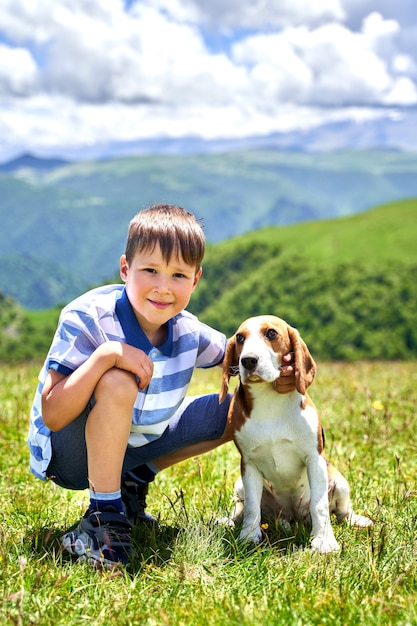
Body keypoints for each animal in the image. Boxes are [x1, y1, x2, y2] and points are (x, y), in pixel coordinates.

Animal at [219, 314, 372, 552]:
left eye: (271, 333)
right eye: (240, 338)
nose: (248, 360)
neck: (269, 401)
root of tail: (293, 517)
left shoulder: (315, 459)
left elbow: (320, 505)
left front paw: (324, 540)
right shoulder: (249, 464)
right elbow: (252, 507)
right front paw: (249, 536)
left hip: (339, 482)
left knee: (342, 514)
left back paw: (357, 520)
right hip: (240, 485)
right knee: (245, 510)